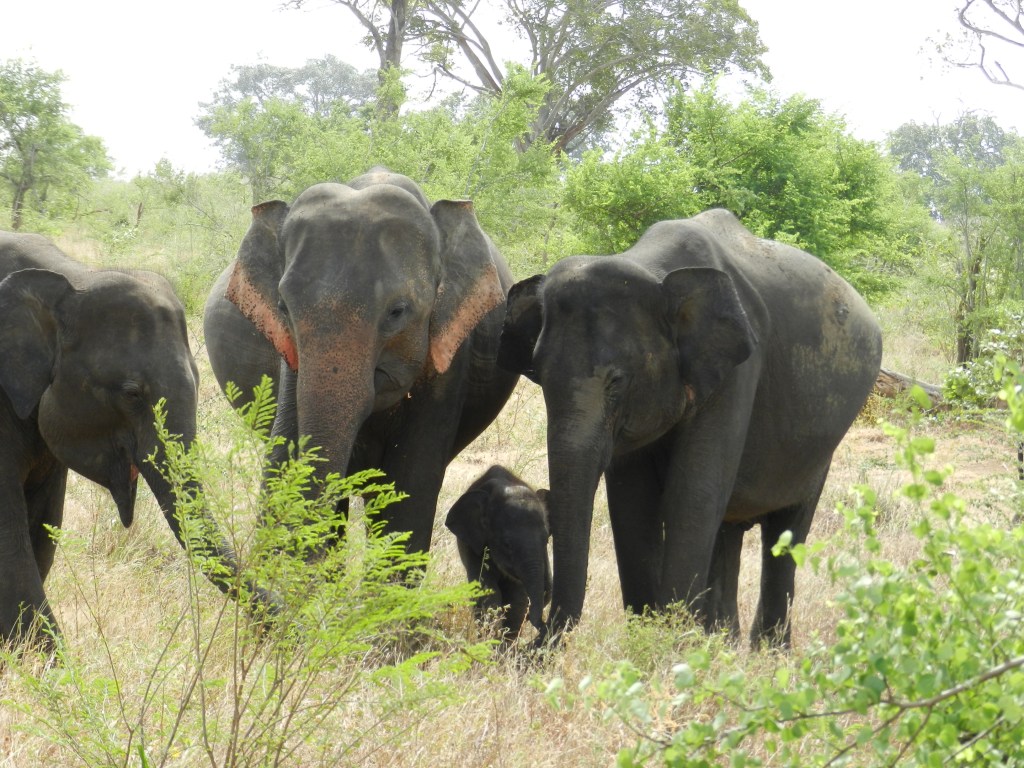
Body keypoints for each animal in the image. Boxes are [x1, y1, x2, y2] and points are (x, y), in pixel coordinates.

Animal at [445, 465, 551, 641]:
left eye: (547, 540)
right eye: (507, 544)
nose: (543, 626)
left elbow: (517, 599)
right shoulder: (473, 544)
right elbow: (486, 591)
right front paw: (491, 641)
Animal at [498, 209, 883, 647]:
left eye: (617, 382)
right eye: (539, 376)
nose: (535, 632)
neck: (652, 269)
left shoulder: (737, 369)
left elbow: (692, 493)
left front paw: (667, 644)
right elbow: (632, 501)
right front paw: (653, 638)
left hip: (821, 446)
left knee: (787, 530)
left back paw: (767, 652)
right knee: (728, 530)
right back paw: (722, 643)